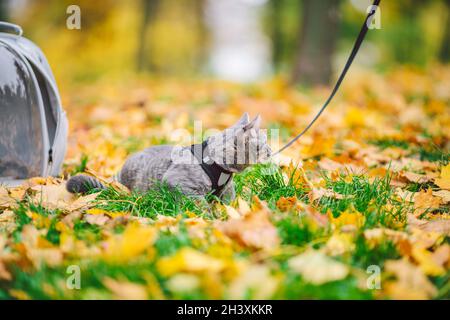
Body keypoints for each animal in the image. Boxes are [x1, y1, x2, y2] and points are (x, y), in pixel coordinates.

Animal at [66, 114, 270, 201]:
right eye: (263, 144)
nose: (270, 150)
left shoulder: (227, 190)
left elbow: (228, 202)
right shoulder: (178, 183)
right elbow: (198, 203)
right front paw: (209, 218)